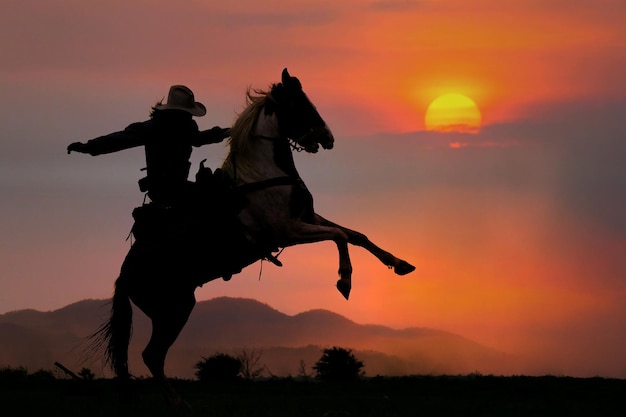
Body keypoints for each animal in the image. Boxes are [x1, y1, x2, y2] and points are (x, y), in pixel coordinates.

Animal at [91, 67, 414, 404]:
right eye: (298, 104)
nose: (328, 138)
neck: (264, 173)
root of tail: (124, 275)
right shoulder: (289, 231)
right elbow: (339, 236)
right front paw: (344, 281)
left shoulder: (307, 218)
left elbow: (356, 235)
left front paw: (400, 264)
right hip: (174, 309)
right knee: (152, 355)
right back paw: (179, 402)